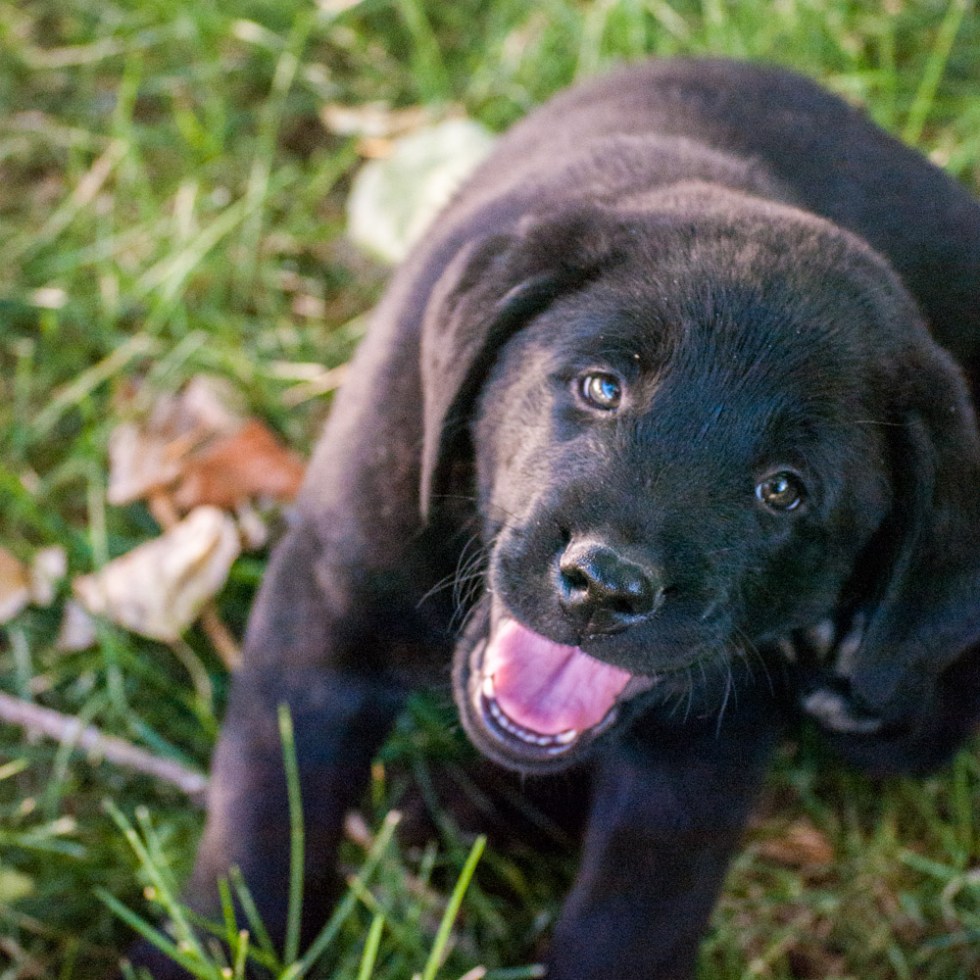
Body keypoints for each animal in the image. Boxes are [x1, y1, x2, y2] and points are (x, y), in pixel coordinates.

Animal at [135, 58, 980, 979]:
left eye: (783, 490)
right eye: (602, 386)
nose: (605, 585)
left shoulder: (704, 754)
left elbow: (631, 923)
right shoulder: (324, 601)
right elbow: (263, 820)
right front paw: (211, 948)